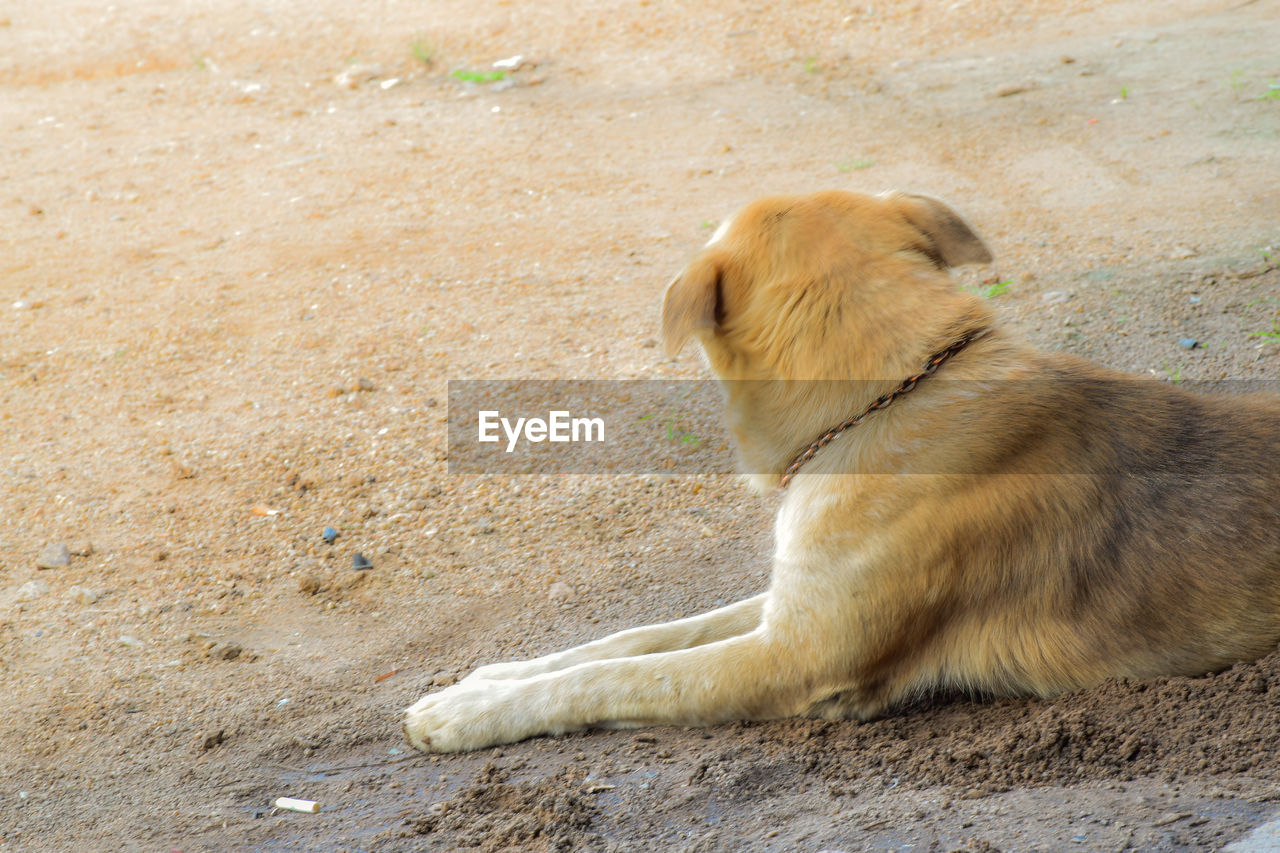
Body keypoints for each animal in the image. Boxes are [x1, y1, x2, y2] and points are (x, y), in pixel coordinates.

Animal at [404, 188, 1280, 753]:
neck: (895, 393)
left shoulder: (793, 659)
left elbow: (614, 679)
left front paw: (464, 717)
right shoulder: (794, 604)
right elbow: (633, 638)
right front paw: (488, 678)